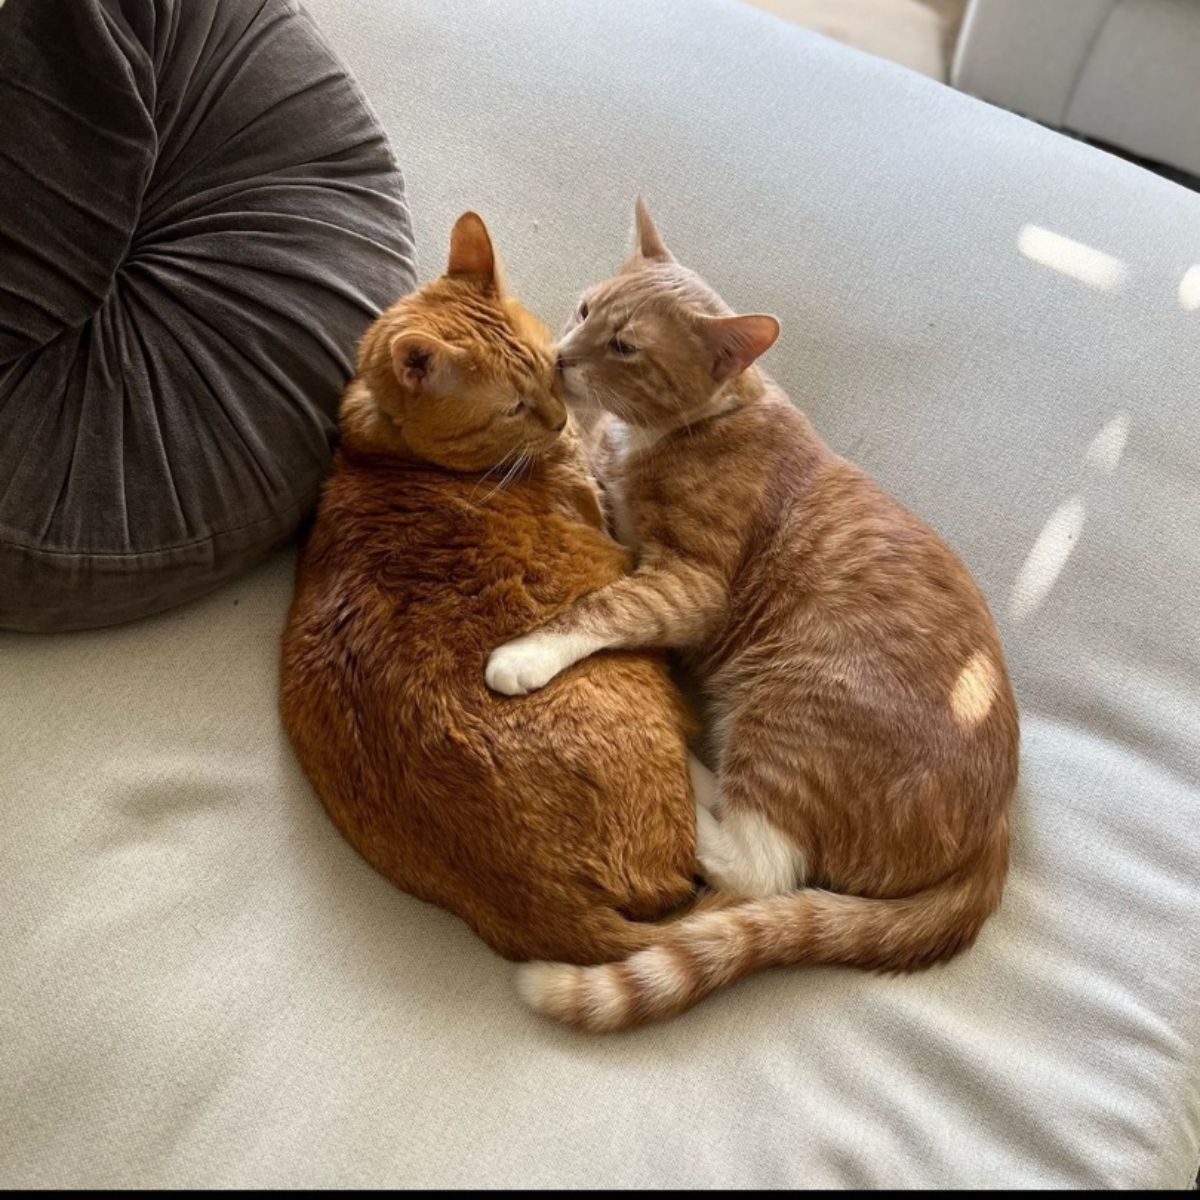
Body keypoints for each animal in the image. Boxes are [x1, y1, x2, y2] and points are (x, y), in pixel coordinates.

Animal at [277, 213, 700, 964]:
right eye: (511, 407)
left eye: (549, 366)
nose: (559, 419)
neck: (394, 451)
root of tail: (544, 909)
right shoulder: (607, 522)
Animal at [492, 201, 1017, 1027]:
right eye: (582, 310)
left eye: (624, 346)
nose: (557, 358)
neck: (679, 429)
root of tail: (995, 831)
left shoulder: (691, 582)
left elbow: (605, 604)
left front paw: (524, 654)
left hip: (794, 706)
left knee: (764, 867)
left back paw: (686, 770)